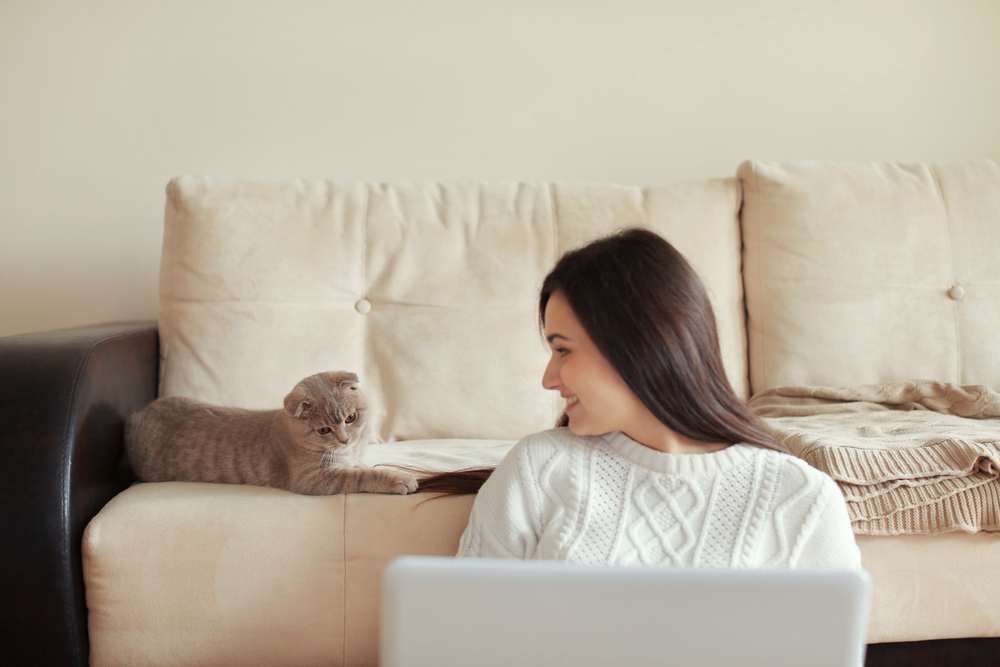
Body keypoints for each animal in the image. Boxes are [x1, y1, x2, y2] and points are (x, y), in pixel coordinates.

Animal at [125, 370, 418, 496]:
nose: (345, 439)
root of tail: (137, 416)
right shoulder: (312, 479)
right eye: (323, 430)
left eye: (351, 418)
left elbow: (360, 467)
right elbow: (360, 476)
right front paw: (398, 478)